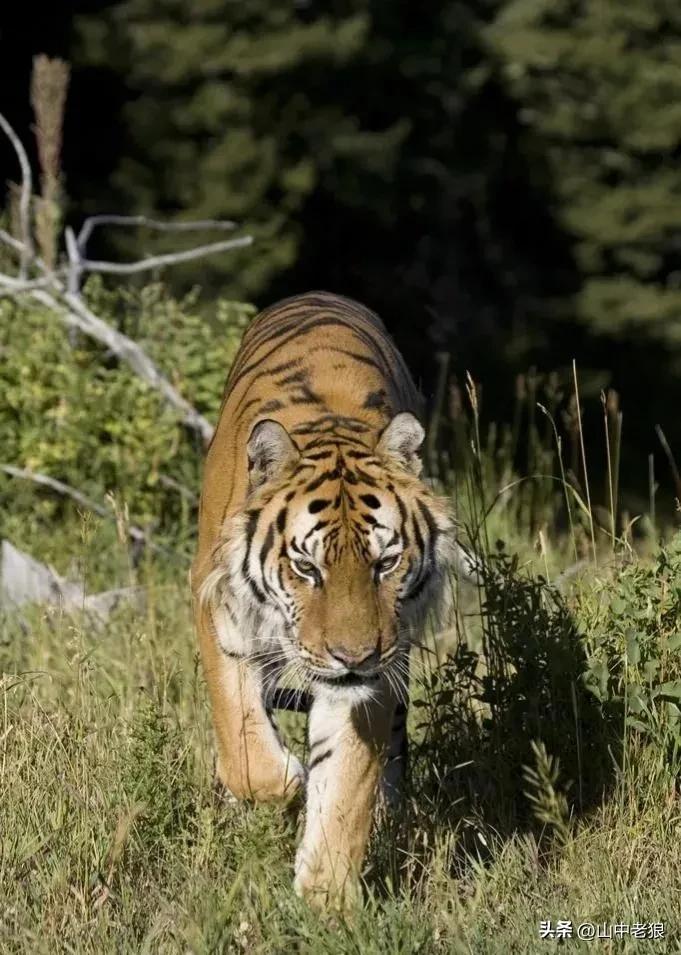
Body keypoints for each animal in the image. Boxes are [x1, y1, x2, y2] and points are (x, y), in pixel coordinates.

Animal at [194, 290, 464, 904]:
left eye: (385, 562)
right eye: (306, 567)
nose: (353, 657)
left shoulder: (372, 677)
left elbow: (345, 784)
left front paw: (326, 901)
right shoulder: (219, 612)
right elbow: (246, 747)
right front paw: (284, 781)